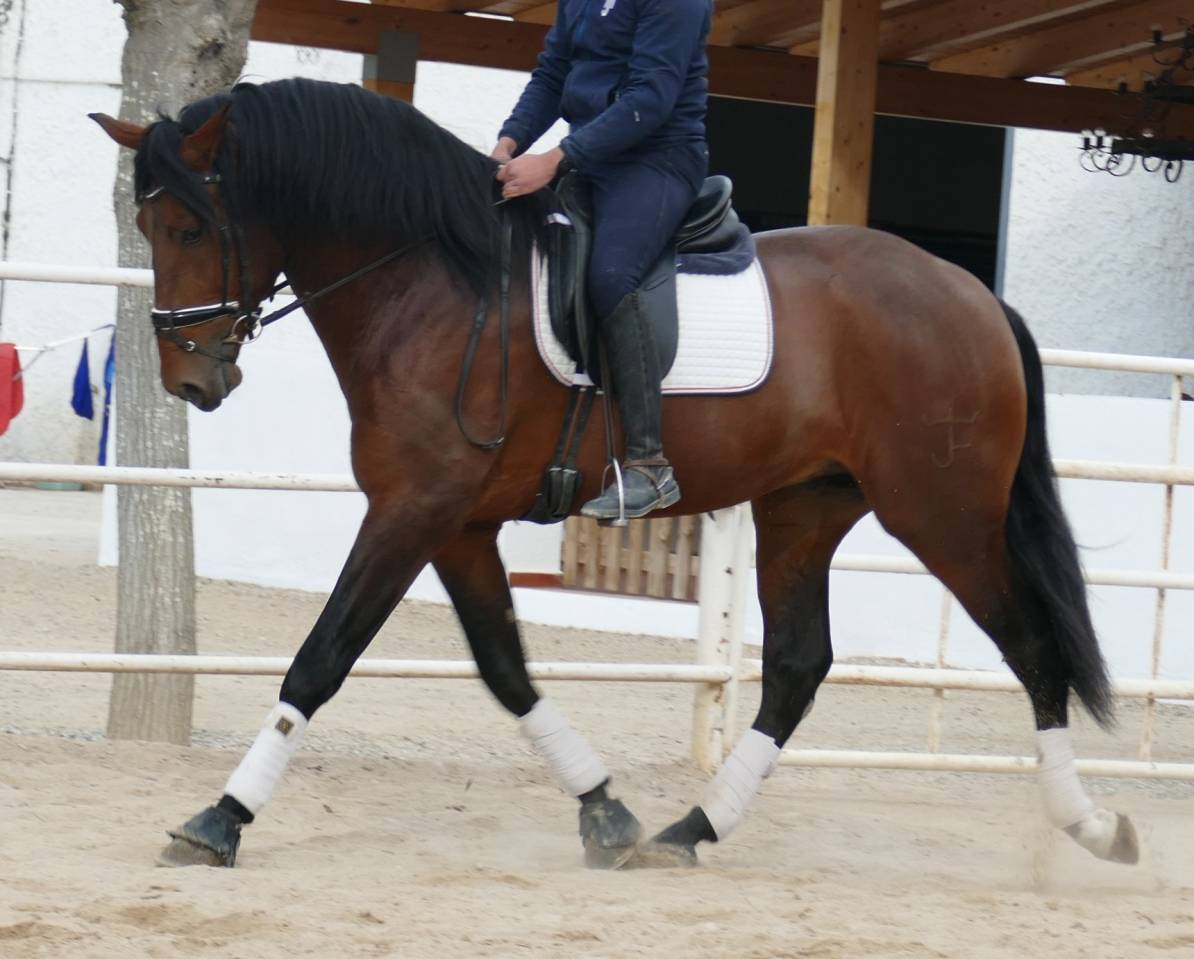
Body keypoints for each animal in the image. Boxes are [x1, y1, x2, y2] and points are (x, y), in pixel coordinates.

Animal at [91, 77, 1139, 871]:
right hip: (805, 510)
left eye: (191, 227)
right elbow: (506, 669)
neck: (434, 284)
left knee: (1032, 649)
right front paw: (606, 810)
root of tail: (974, 296)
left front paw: (220, 818)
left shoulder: (411, 510)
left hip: (943, 513)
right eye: (146, 225)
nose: (190, 378)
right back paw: (689, 829)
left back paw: (1092, 826)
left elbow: (322, 656)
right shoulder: (455, 523)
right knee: (797, 669)